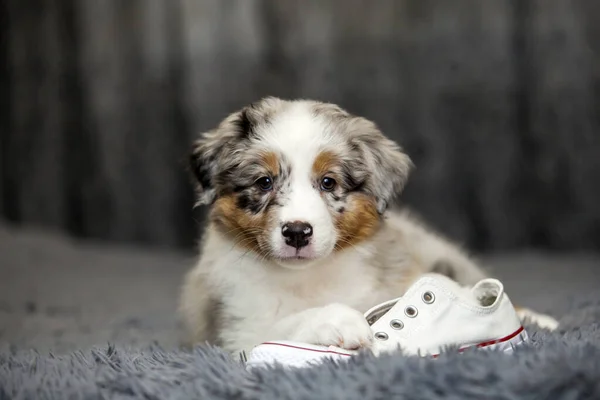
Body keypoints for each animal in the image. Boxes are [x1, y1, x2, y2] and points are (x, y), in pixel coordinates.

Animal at [179, 98, 556, 354]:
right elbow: (283, 323)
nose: (297, 232)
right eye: (264, 182)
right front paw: (338, 320)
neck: (309, 276)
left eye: (328, 182)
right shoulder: (236, 328)